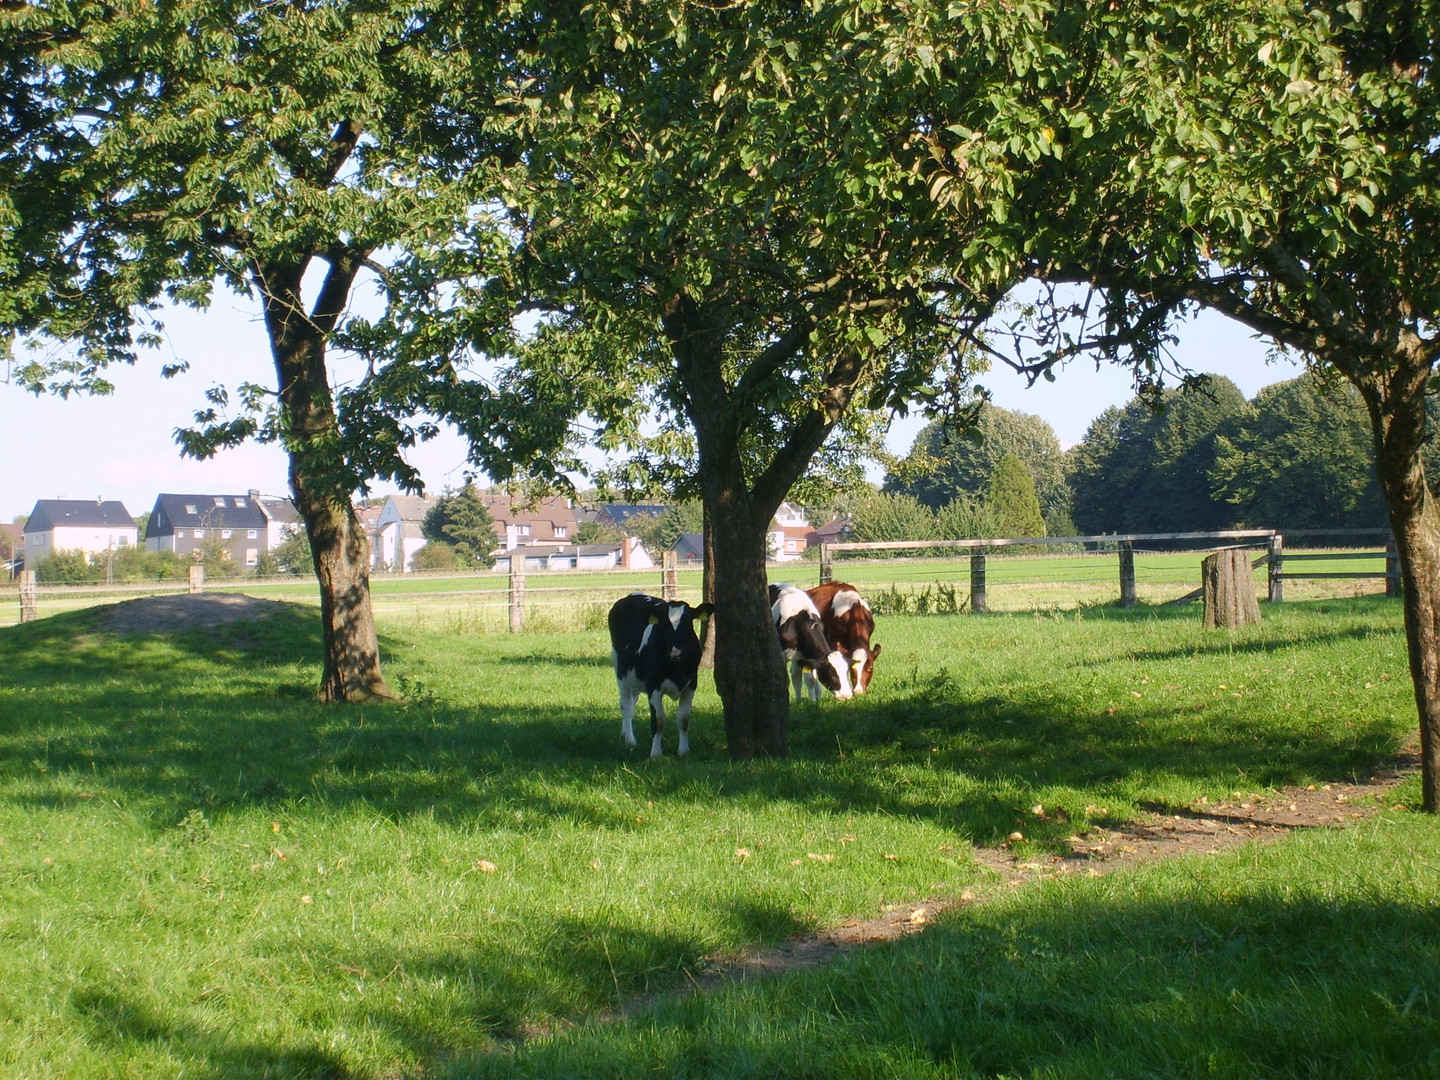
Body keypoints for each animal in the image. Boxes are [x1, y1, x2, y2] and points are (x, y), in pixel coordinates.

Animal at [607, 596, 714, 754]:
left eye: (687, 623)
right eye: (664, 624)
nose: (676, 654)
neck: (676, 670)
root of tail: (630, 596)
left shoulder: (691, 685)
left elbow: (683, 719)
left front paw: (684, 752)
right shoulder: (653, 686)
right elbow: (659, 720)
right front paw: (656, 754)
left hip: (635, 679)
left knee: (632, 703)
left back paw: (625, 733)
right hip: (620, 672)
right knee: (625, 704)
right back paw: (630, 740)